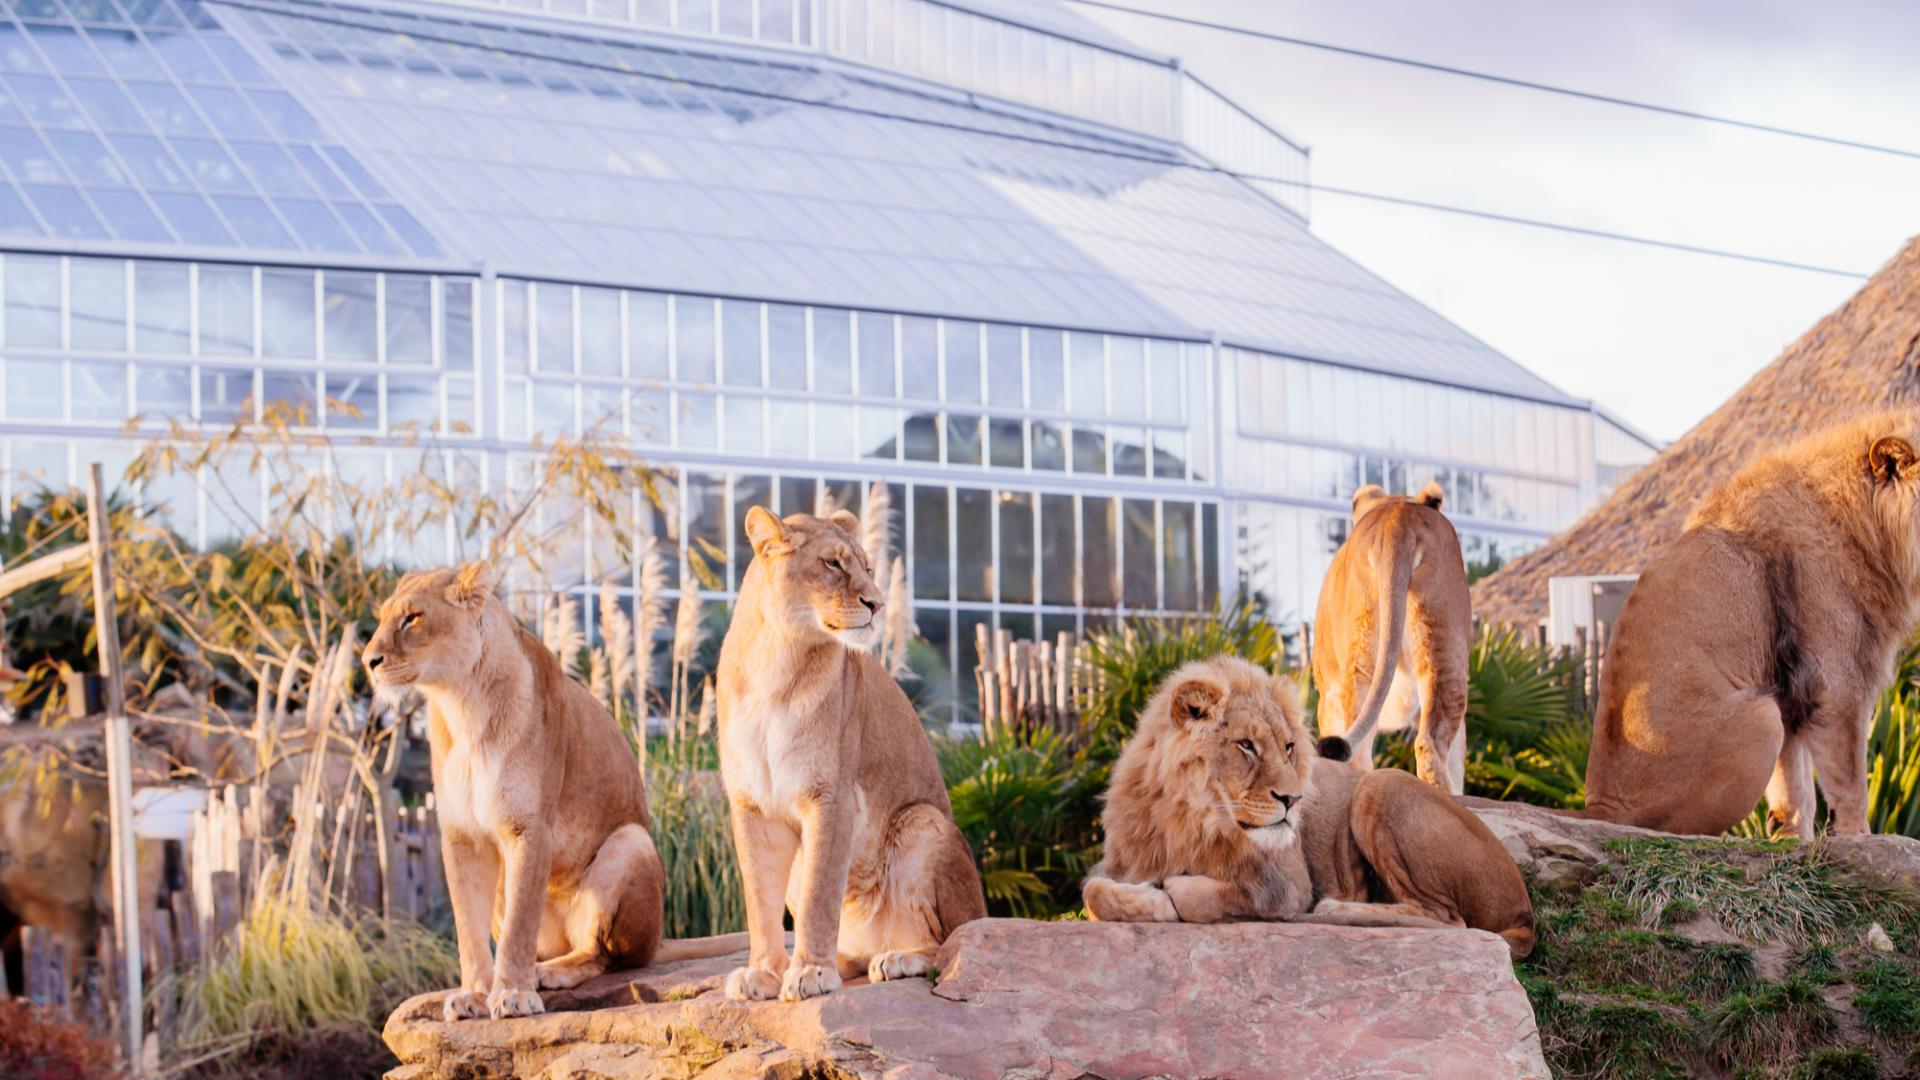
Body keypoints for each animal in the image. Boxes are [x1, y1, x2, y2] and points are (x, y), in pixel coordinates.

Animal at [362, 564, 743, 1022]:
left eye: (412, 618)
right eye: (383, 617)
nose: (368, 661)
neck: (460, 704)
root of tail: (659, 938)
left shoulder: (528, 830)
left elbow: (518, 928)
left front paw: (512, 993)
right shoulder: (461, 837)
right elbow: (468, 930)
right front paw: (473, 994)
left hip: (631, 842)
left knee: (604, 956)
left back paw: (549, 973)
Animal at [715, 507, 985, 1002]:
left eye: (869, 568)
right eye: (833, 564)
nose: (877, 604)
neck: (774, 660)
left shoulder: (832, 798)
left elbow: (820, 895)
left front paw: (810, 972)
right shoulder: (751, 805)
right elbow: (759, 900)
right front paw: (763, 974)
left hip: (922, 822)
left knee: (950, 944)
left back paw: (895, 959)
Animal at [1082, 656, 1534, 959]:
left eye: (1287, 747)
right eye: (1246, 745)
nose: (1292, 799)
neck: (1192, 818)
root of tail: (1525, 911)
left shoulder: (1286, 886)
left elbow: (1200, 897)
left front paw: (1167, 893)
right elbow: (1093, 891)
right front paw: (1143, 893)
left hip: (1379, 784)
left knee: (1447, 919)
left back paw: (1336, 908)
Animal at [1583, 411, 1920, 839]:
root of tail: (1600, 810)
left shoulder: (1791, 689)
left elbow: (1795, 786)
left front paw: (1793, 837)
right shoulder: (1839, 680)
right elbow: (1850, 779)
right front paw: (1859, 837)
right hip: (1761, 718)